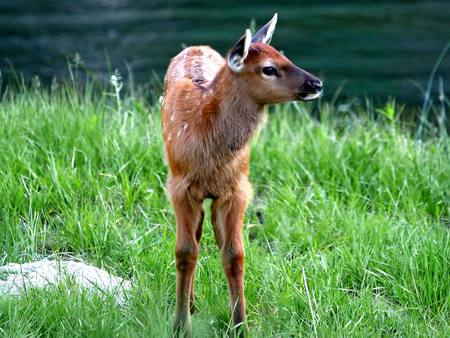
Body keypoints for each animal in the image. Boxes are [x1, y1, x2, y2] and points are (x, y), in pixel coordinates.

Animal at [162, 12, 324, 336]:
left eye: (285, 56)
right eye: (269, 68)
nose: (317, 83)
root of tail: (196, 47)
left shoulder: (237, 189)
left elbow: (234, 254)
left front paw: (240, 325)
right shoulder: (179, 187)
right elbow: (184, 252)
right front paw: (180, 325)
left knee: (214, 235)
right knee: (195, 238)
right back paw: (192, 303)